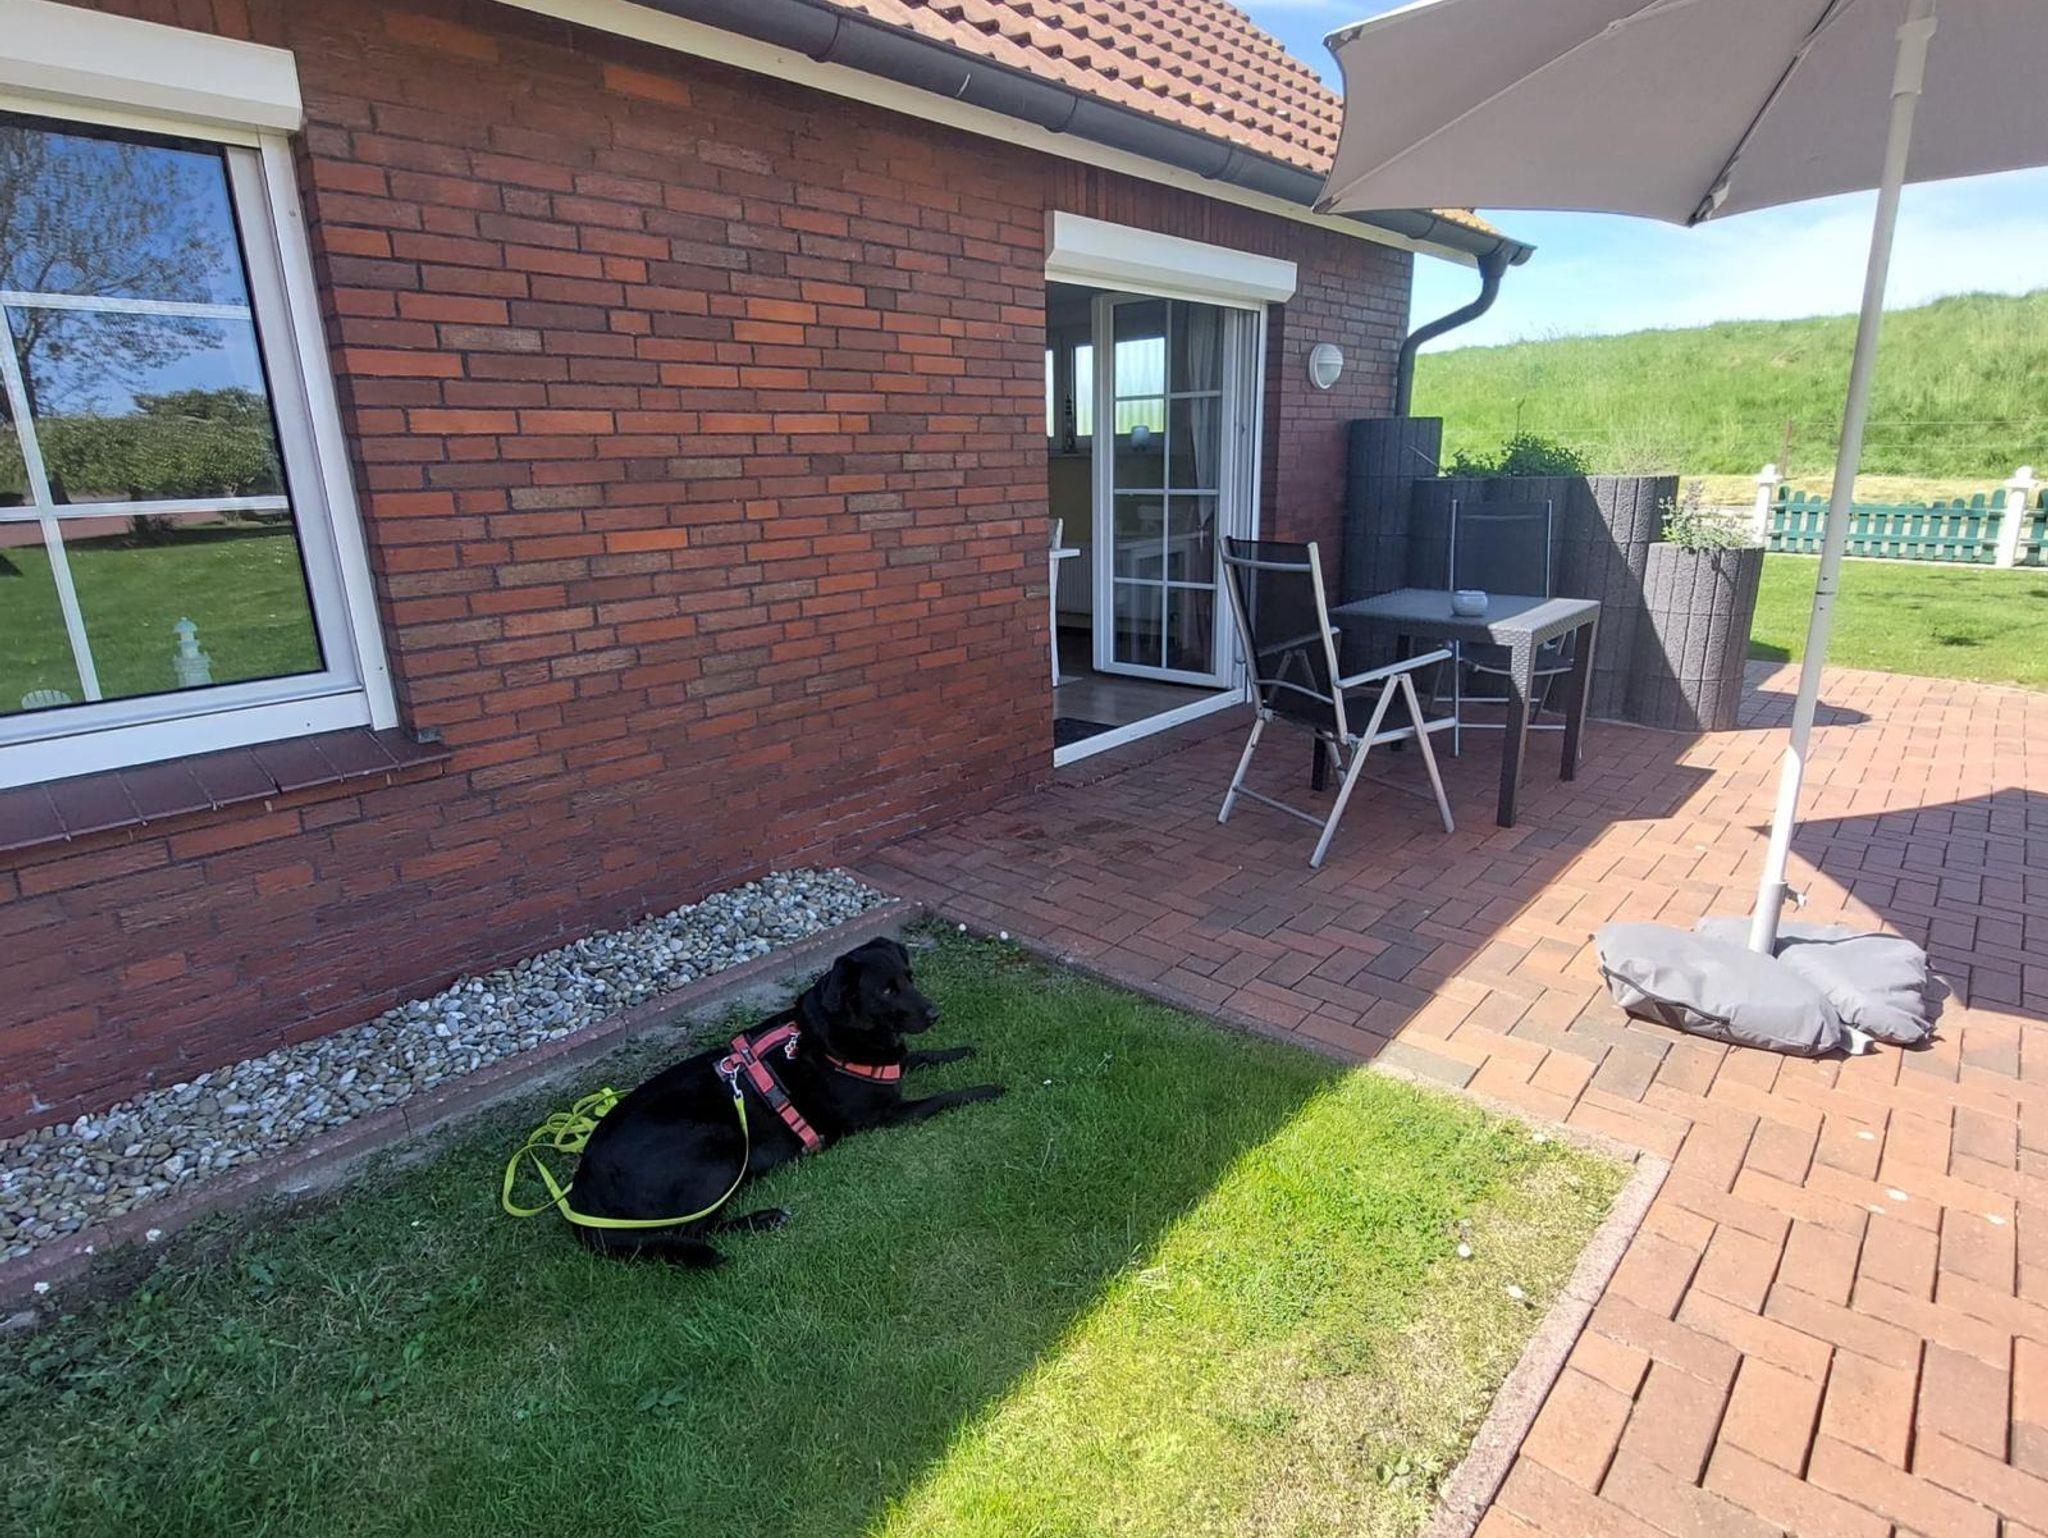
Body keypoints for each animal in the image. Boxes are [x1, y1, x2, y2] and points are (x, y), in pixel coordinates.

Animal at [565, 937, 1002, 1266]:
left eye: (909, 978)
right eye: (886, 989)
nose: (934, 1013)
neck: (825, 1035)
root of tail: (583, 1189)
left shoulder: (894, 1065)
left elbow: (923, 1056)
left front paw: (961, 1051)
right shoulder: (886, 1114)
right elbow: (945, 1097)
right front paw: (989, 1089)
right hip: (721, 1147)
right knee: (695, 1228)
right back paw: (764, 1219)